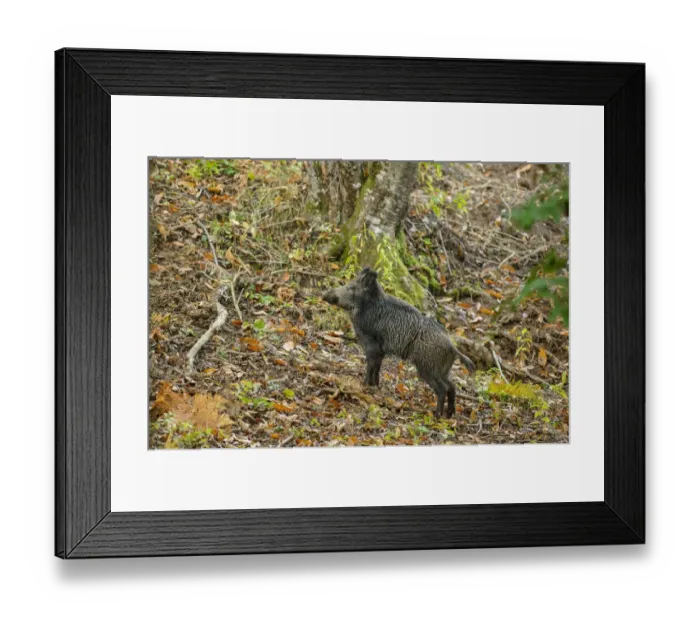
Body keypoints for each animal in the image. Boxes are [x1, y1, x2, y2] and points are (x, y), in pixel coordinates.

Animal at [322, 267, 476, 418]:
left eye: (352, 287)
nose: (324, 293)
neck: (366, 308)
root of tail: (452, 347)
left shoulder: (371, 345)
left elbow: (371, 366)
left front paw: (364, 385)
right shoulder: (381, 351)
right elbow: (377, 367)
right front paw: (375, 385)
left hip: (427, 367)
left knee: (443, 388)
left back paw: (436, 415)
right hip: (442, 370)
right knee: (452, 386)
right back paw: (449, 415)